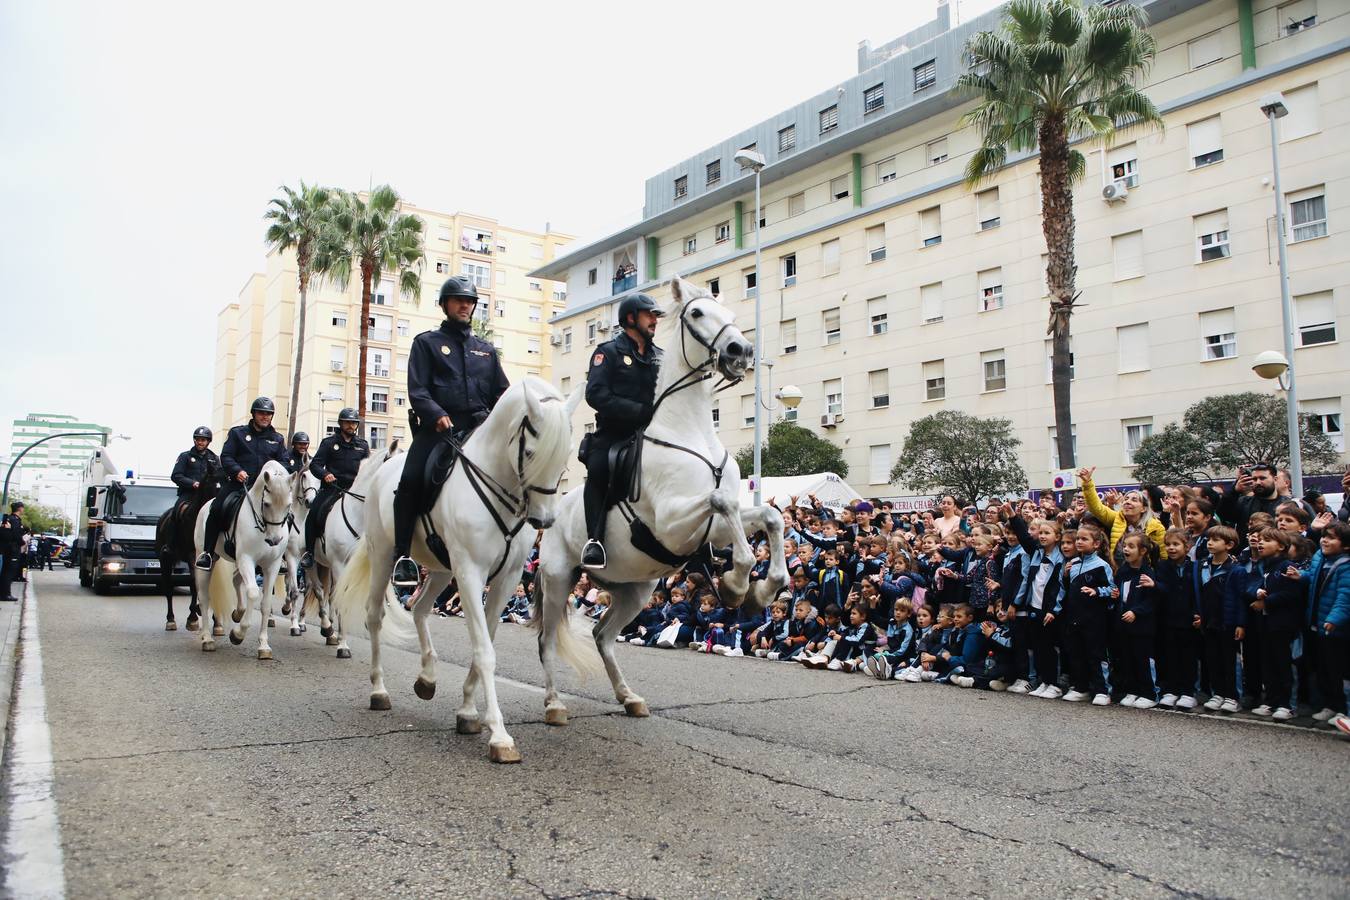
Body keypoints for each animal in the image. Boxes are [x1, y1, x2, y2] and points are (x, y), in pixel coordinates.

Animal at [190, 461, 292, 658]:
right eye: (267, 504)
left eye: (288, 505)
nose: (274, 540)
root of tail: (207, 504)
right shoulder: (246, 559)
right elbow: (252, 592)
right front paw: (237, 635)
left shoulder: (272, 565)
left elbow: (265, 604)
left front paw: (264, 646)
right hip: (207, 560)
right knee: (204, 598)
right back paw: (207, 639)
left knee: (235, 580)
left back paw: (237, 612)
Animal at [332, 377, 585, 766]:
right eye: (530, 453)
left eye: (568, 451)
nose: (543, 521)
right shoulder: (470, 573)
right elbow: (485, 651)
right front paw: (499, 735)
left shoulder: (506, 580)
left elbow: (486, 642)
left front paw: (467, 711)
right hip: (384, 556)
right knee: (375, 616)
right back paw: (379, 690)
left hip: (439, 569)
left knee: (419, 608)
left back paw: (427, 677)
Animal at [529, 272, 788, 723]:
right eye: (697, 312)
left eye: (729, 312)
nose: (740, 351)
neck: (692, 433)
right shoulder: (671, 523)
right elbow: (723, 501)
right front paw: (738, 581)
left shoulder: (714, 532)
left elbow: (770, 517)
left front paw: (762, 589)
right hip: (558, 577)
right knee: (547, 640)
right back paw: (555, 704)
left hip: (635, 591)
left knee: (602, 635)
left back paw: (628, 696)